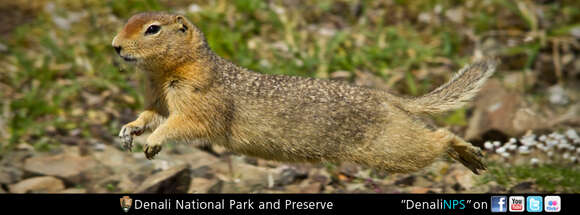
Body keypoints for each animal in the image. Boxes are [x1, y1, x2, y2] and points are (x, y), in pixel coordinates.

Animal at [111, 11, 496, 174]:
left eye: (152, 29)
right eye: (128, 20)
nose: (115, 46)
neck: (163, 74)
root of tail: (386, 97)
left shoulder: (199, 96)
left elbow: (186, 123)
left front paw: (154, 141)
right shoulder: (159, 98)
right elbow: (152, 115)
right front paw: (129, 130)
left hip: (391, 148)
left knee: (439, 138)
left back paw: (469, 153)